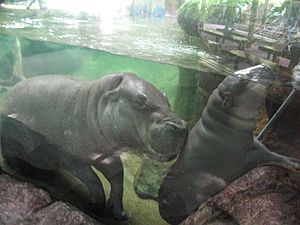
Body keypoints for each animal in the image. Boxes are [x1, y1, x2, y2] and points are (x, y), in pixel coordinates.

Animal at [0, 73, 188, 220]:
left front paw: (120, 213)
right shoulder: (69, 157)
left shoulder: (107, 157)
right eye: (140, 100)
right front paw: (96, 206)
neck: (93, 105)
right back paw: (23, 169)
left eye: (166, 98)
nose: (182, 127)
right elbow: (92, 179)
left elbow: (118, 180)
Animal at [157, 64, 300, 224]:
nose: (264, 65)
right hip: (214, 182)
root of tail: (162, 208)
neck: (222, 122)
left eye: (239, 71)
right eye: (243, 81)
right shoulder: (243, 156)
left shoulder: (252, 141)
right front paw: (295, 163)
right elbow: (266, 155)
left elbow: (267, 150)